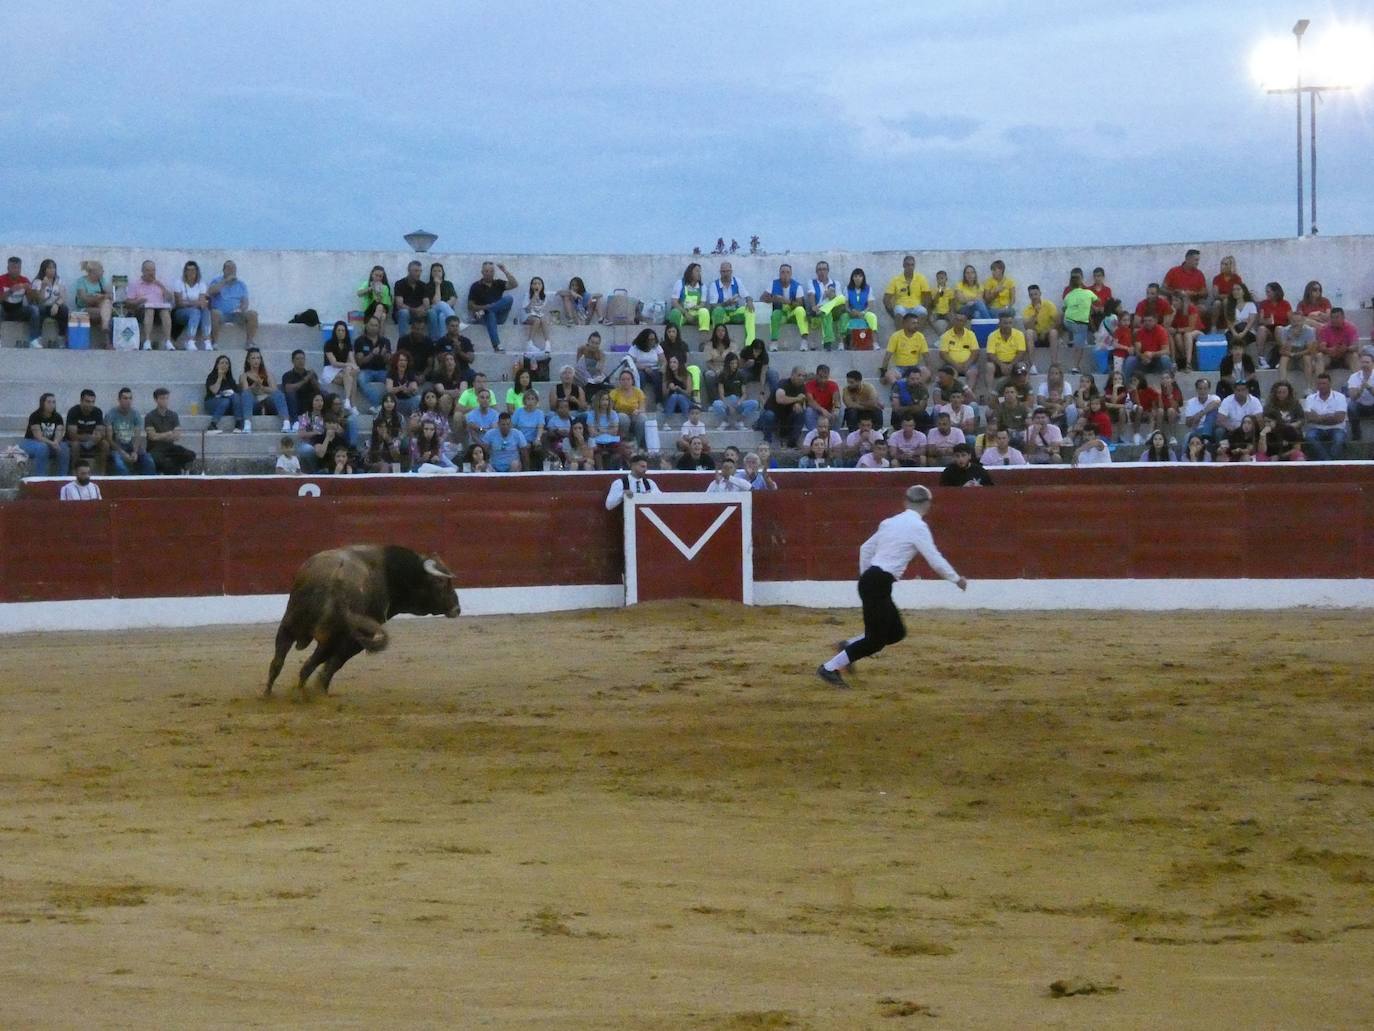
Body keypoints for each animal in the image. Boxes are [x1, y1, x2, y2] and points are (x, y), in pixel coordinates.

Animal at [262, 544, 461, 698]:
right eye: (441, 583)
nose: (457, 609)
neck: (390, 573)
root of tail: (333, 577)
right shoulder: (355, 640)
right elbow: (335, 663)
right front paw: (321, 689)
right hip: (332, 638)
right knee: (309, 665)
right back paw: (302, 694)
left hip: (289, 624)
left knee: (278, 662)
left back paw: (268, 695)